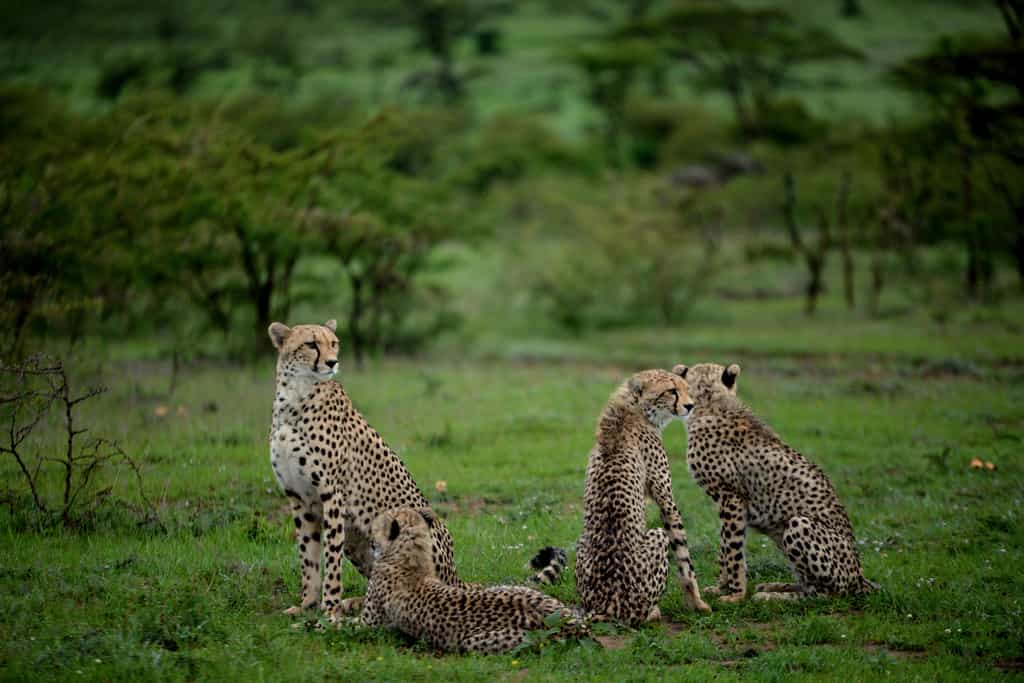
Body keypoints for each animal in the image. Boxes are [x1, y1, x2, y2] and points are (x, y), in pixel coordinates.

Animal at [361, 507, 584, 654]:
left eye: (375, 528)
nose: (369, 542)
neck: (408, 559)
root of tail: (570, 624)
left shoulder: (368, 623)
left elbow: (353, 624)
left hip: (477, 642)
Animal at [575, 368, 711, 626]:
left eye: (686, 388)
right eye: (671, 391)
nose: (690, 406)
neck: (634, 409)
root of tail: (604, 607)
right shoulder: (667, 501)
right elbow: (685, 559)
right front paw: (697, 603)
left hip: (581, 541)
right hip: (657, 537)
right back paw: (653, 612)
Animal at [675, 362, 877, 601]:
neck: (711, 401)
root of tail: (861, 578)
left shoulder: (731, 499)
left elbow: (732, 550)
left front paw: (735, 595)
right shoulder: (730, 504)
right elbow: (725, 548)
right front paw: (720, 588)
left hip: (799, 524)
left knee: (824, 594)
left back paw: (771, 596)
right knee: (808, 585)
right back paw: (774, 586)